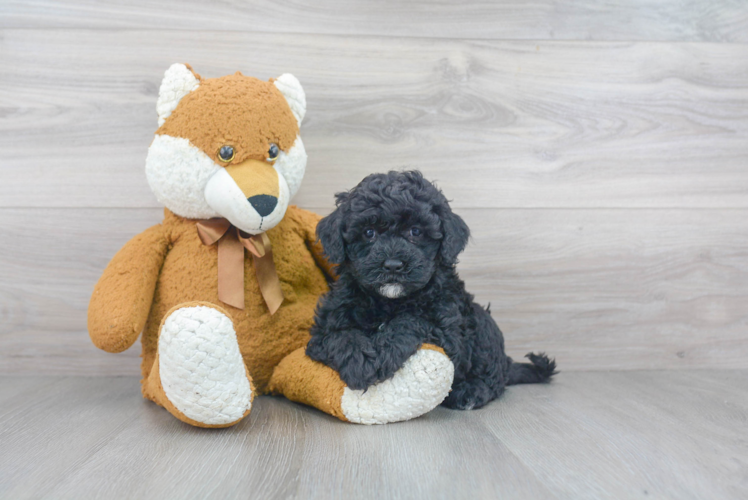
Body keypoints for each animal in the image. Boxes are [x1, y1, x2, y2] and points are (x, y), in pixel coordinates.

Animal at [304, 170, 556, 408]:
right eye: (369, 232)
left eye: (416, 232)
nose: (393, 264)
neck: (389, 302)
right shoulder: (325, 327)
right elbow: (340, 336)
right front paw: (359, 362)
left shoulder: (447, 328)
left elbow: (411, 321)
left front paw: (381, 353)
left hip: (483, 327)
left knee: (494, 378)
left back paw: (471, 392)